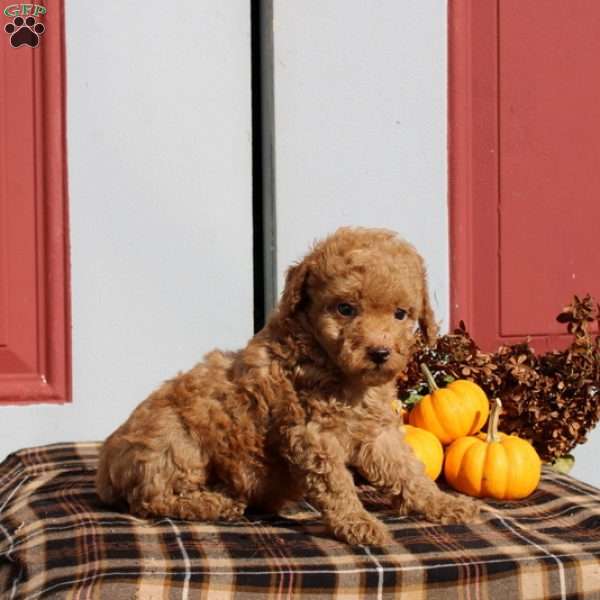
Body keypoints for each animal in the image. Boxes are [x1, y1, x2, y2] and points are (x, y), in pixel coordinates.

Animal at [96, 227, 478, 548]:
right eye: (345, 309)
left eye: (401, 314)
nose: (380, 353)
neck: (340, 373)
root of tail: (105, 468)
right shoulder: (311, 434)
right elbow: (337, 483)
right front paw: (358, 523)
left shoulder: (378, 433)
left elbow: (408, 471)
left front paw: (443, 504)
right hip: (176, 441)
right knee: (150, 499)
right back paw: (214, 502)